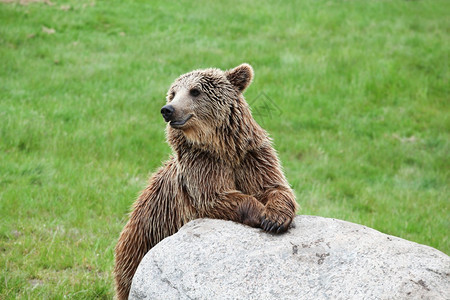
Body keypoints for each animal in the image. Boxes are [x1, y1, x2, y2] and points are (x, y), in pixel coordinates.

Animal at [115, 62, 298, 298]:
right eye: (173, 93)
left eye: (195, 91)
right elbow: (215, 196)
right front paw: (260, 213)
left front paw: (275, 218)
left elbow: (275, 187)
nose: (167, 110)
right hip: (142, 244)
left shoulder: (251, 157)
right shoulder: (202, 165)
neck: (221, 147)